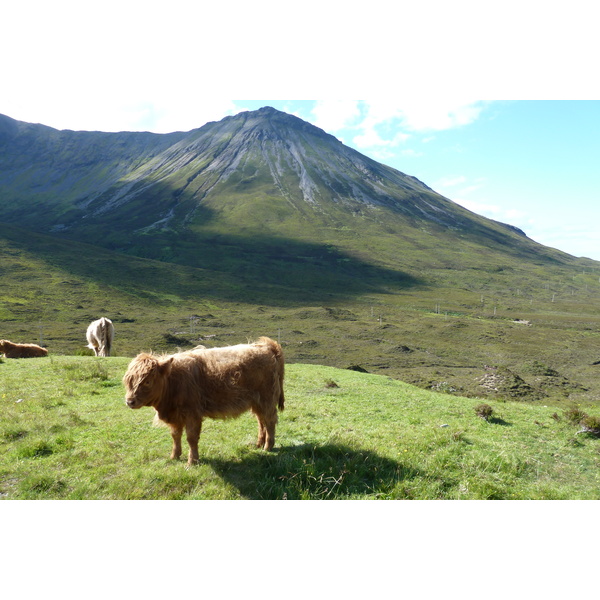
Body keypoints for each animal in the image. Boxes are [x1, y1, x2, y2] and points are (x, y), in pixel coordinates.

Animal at [122, 338, 286, 464]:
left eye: (147, 381)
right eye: (129, 380)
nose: (130, 401)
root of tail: (266, 346)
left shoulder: (192, 414)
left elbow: (191, 438)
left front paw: (192, 461)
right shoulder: (175, 416)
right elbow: (175, 436)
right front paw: (174, 456)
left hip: (267, 399)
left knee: (270, 421)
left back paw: (268, 447)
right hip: (256, 402)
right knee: (261, 421)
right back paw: (259, 444)